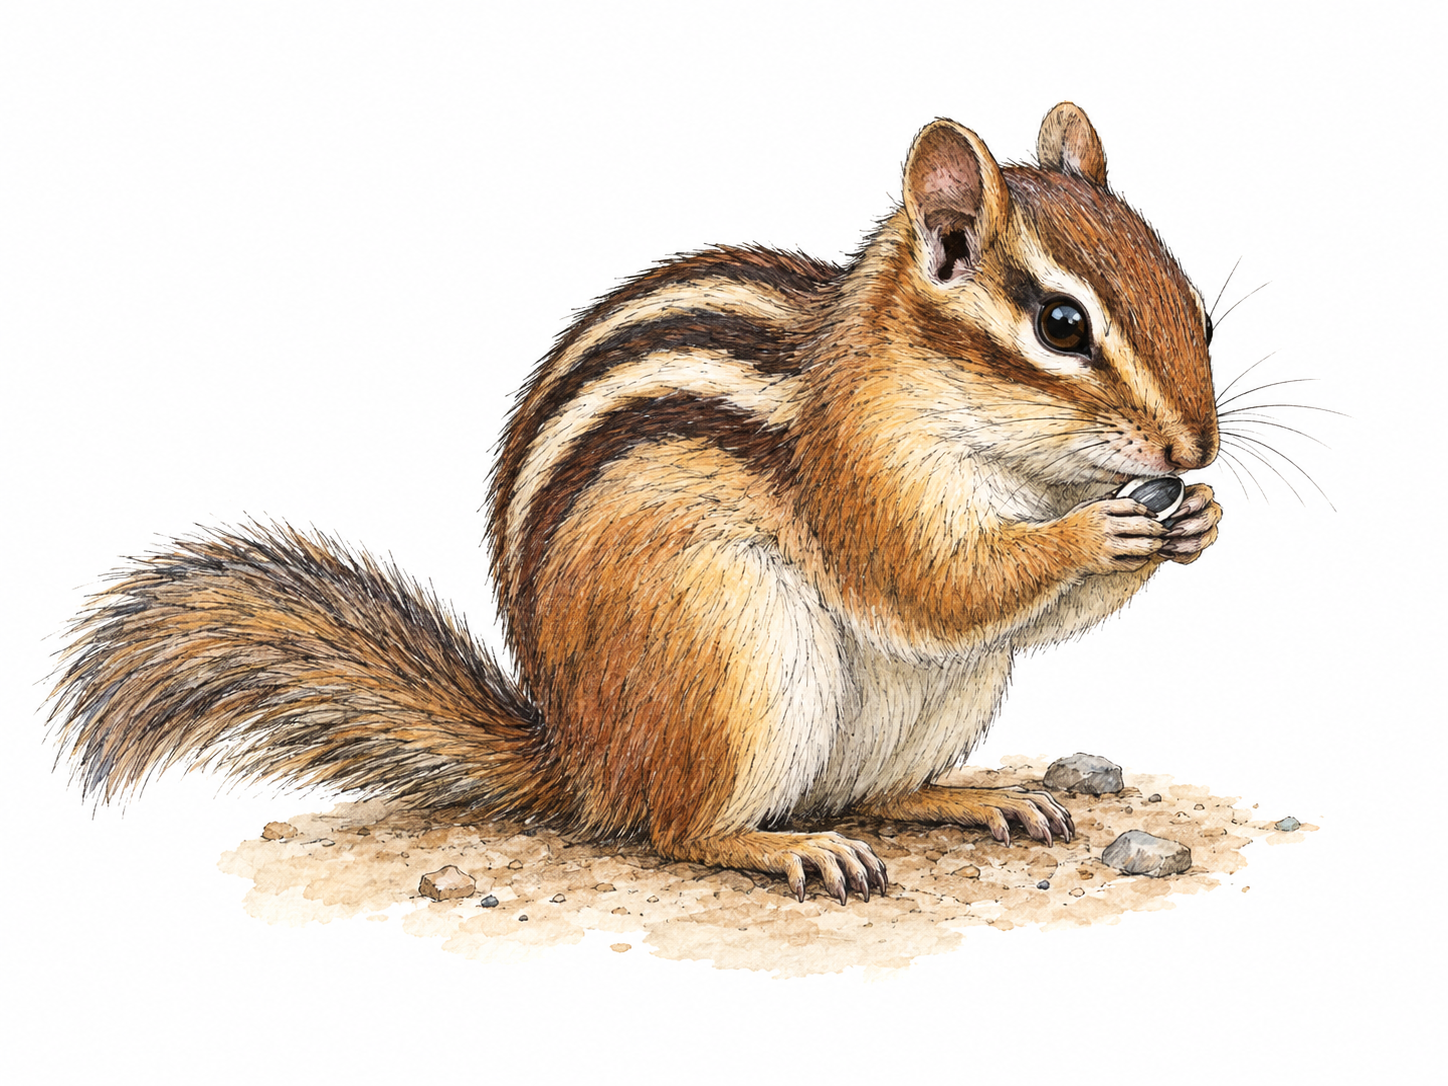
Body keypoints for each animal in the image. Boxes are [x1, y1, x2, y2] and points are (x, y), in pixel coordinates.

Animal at [50, 103, 1222, 905]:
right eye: (1062, 326)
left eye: (1198, 311)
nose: (1197, 449)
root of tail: (578, 760)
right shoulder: (858, 474)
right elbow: (935, 582)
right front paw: (1097, 530)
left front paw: (1192, 524)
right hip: (728, 644)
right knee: (681, 827)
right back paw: (783, 845)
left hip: (942, 694)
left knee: (860, 788)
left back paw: (971, 796)